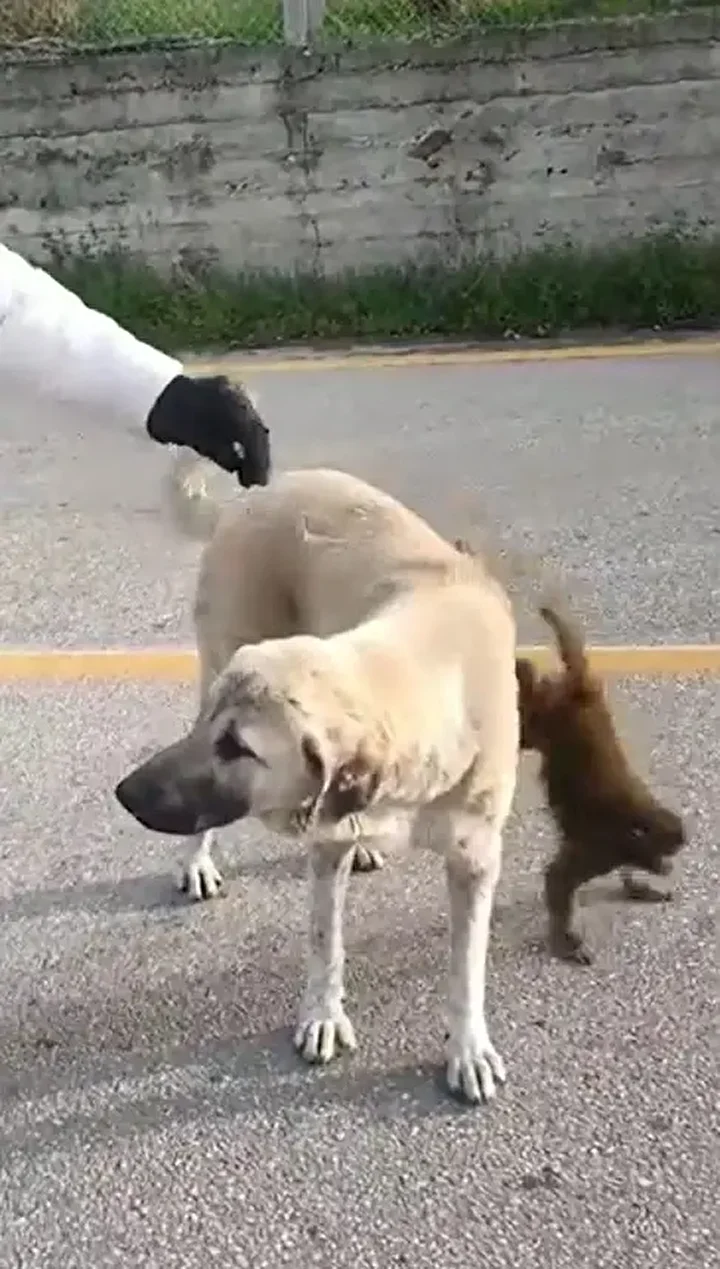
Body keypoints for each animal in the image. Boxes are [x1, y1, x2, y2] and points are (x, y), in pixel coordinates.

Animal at [115, 459, 520, 1104]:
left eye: (237, 747)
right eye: (212, 733)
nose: (126, 793)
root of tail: (259, 496)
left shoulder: (476, 859)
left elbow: (467, 966)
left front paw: (468, 1046)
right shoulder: (326, 843)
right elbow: (325, 939)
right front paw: (324, 1016)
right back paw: (198, 861)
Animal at [515, 605, 686, 965]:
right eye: (669, 848)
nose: (667, 865)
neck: (635, 827)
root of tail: (584, 692)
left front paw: (635, 886)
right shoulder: (604, 848)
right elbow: (558, 880)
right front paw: (566, 943)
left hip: (559, 711)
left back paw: (523, 670)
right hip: (555, 712)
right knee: (529, 724)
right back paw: (522, 673)